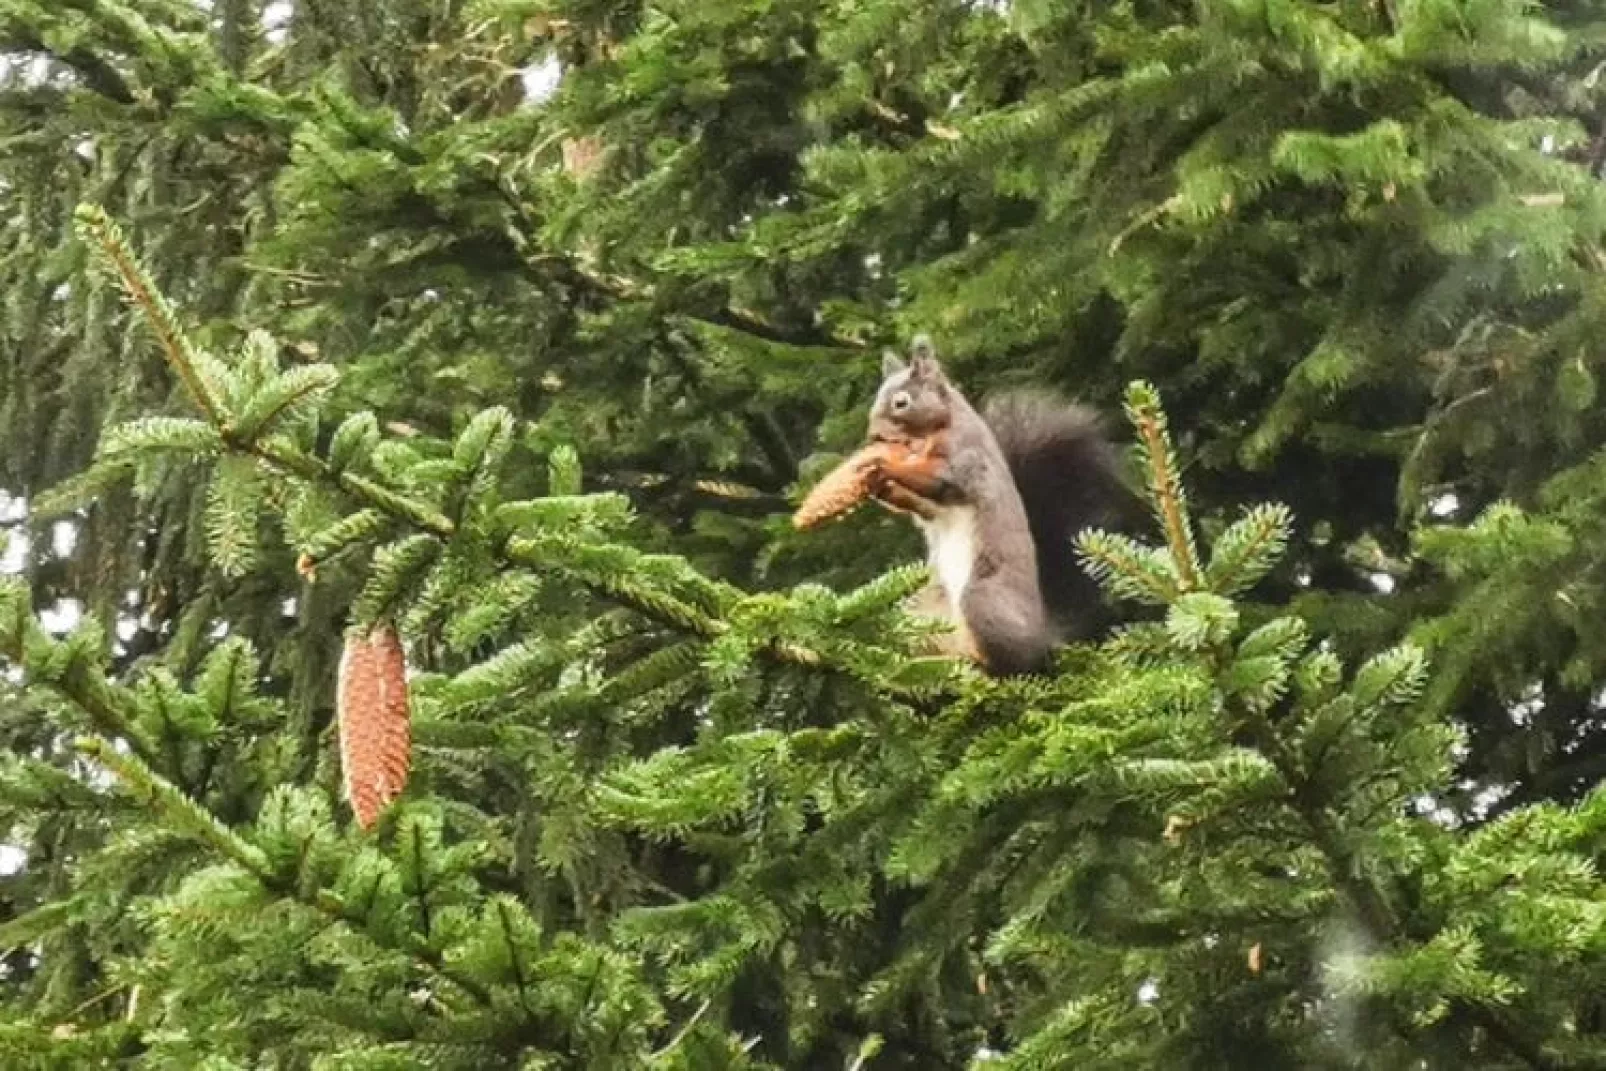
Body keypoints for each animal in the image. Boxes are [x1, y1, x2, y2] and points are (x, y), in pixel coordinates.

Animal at [867, 335, 1130, 674]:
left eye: (902, 402)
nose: (873, 437)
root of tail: (1043, 633)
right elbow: (919, 505)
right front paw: (879, 487)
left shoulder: (966, 458)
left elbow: (938, 479)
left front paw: (884, 468)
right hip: (923, 610)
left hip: (982, 600)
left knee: (1015, 663)